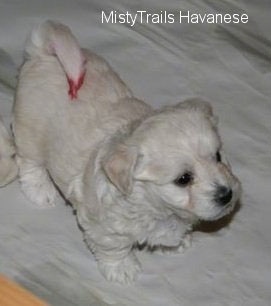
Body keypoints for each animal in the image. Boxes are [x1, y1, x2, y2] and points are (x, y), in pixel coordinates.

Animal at [13, 21, 241, 284]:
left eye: (218, 156)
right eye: (184, 179)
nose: (226, 195)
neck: (154, 205)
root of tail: (43, 52)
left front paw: (177, 242)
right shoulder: (105, 225)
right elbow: (114, 248)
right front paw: (122, 269)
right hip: (30, 131)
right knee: (29, 162)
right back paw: (41, 190)